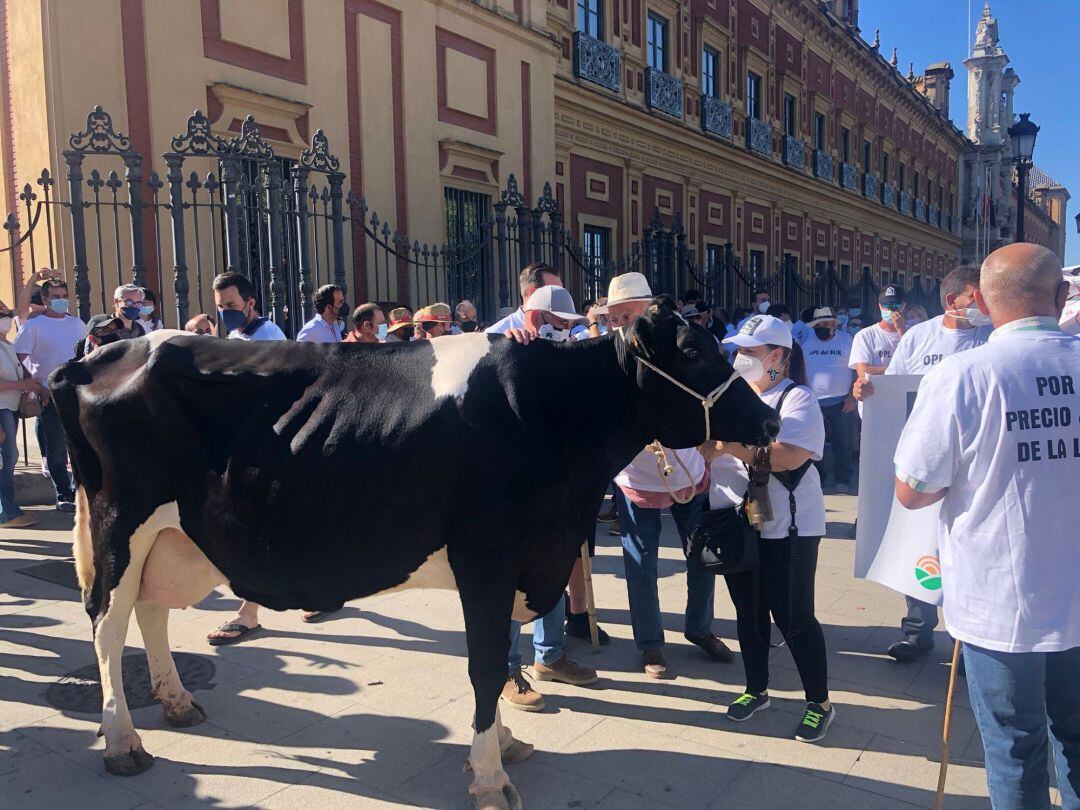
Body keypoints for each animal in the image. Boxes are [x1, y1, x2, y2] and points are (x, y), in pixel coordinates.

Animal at [52, 300, 777, 810]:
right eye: (692, 351)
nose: (769, 420)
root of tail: (104, 350)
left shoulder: (521, 559)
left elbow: (502, 653)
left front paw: (505, 744)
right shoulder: (488, 554)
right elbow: (484, 666)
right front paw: (488, 777)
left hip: (171, 536)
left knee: (149, 612)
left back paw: (177, 703)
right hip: (121, 524)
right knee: (107, 626)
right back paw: (124, 742)